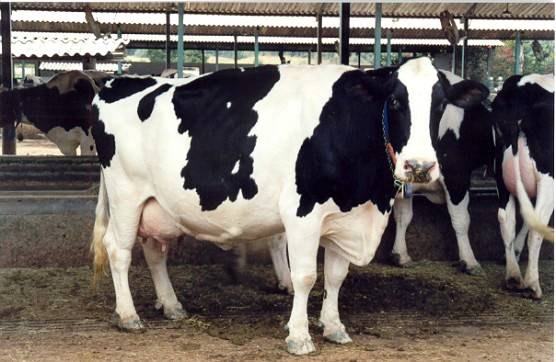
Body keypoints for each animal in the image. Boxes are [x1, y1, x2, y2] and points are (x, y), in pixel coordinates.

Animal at [89, 58, 488, 354]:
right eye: (394, 101)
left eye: (441, 105)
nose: (419, 166)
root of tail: (116, 83)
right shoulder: (303, 213)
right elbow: (306, 276)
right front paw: (299, 336)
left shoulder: (344, 216)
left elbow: (336, 276)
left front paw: (334, 326)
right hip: (126, 193)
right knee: (119, 250)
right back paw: (128, 316)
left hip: (157, 204)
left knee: (154, 252)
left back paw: (171, 306)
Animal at [494, 73, 552, 300]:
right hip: (548, 178)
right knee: (538, 227)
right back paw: (532, 284)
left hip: (500, 175)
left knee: (506, 218)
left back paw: (513, 276)